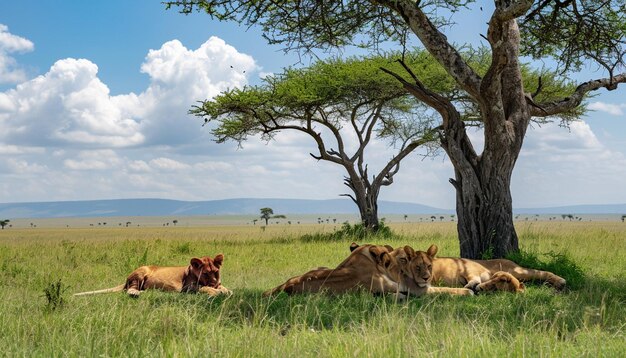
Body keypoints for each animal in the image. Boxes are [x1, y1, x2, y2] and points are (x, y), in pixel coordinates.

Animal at [73, 256, 229, 298]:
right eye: (206, 273)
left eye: (216, 272)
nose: (214, 282)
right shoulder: (187, 288)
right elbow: (203, 288)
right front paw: (215, 291)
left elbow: (226, 289)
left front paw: (224, 290)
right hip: (141, 271)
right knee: (130, 289)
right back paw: (137, 293)